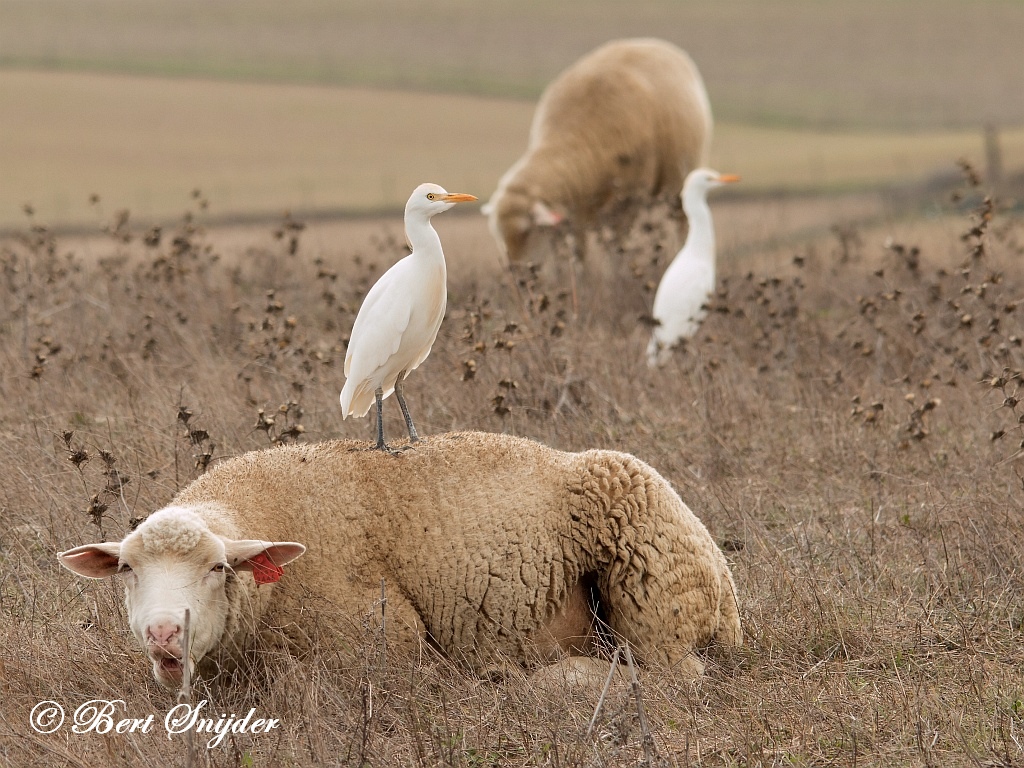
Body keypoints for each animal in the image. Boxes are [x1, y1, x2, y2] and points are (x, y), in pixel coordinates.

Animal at [59, 430, 741, 688]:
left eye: (218, 568)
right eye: (127, 571)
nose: (164, 632)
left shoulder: (383, 648)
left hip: (656, 600)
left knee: (674, 673)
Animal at [481, 39, 712, 268]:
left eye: (526, 231)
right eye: (498, 235)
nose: (517, 271)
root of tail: (654, 43)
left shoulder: (628, 202)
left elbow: (619, 245)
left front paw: (619, 270)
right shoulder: (575, 212)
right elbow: (578, 252)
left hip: (681, 182)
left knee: (683, 222)